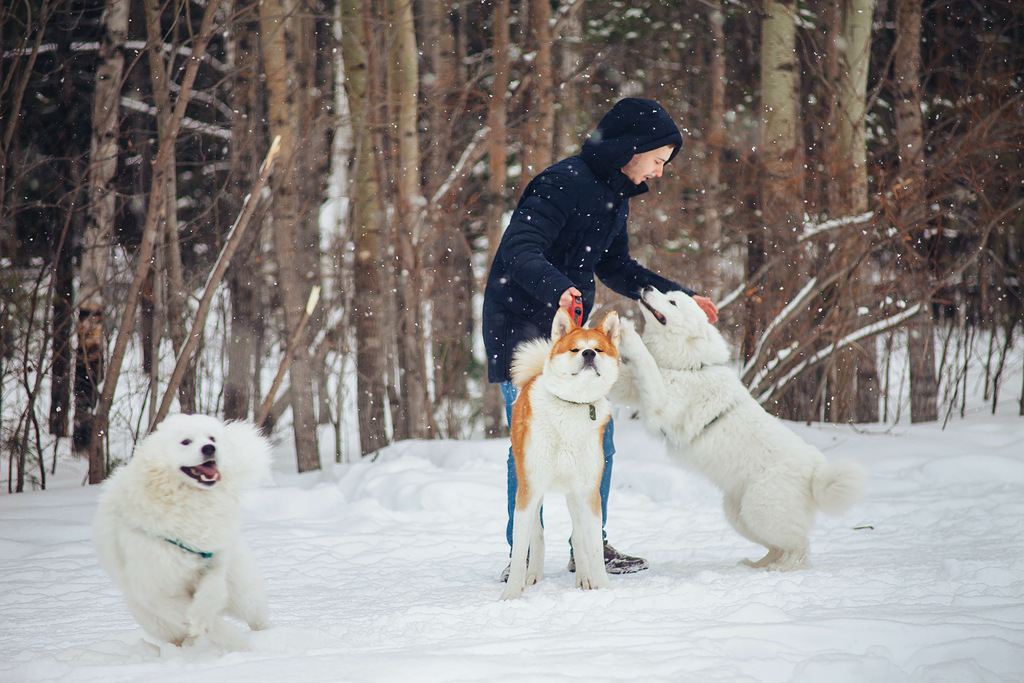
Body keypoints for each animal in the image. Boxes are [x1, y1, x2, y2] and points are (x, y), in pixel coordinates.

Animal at [92, 413, 272, 651]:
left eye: (212, 438)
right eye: (186, 442)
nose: (210, 448)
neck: (191, 502)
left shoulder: (214, 560)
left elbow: (210, 594)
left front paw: (205, 618)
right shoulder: (155, 590)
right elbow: (192, 616)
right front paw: (234, 640)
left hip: (244, 593)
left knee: (258, 618)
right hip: (153, 619)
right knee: (177, 636)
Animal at [499, 307, 618, 602]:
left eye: (598, 348)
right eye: (575, 349)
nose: (589, 354)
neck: (572, 405)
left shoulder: (589, 491)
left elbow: (593, 546)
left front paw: (603, 589)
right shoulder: (528, 489)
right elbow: (522, 546)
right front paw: (510, 595)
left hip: (574, 493)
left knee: (577, 536)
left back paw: (584, 578)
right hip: (530, 485)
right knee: (537, 535)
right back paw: (532, 575)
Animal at [614, 288, 864, 573]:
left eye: (672, 302)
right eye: (668, 294)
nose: (647, 288)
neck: (691, 365)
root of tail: (816, 472)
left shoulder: (660, 400)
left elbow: (645, 361)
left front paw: (628, 332)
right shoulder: (635, 388)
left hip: (760, 509)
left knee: (800, 546)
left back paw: (781, 569)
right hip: (740, 515)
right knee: (779, 547)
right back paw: (757, 565)